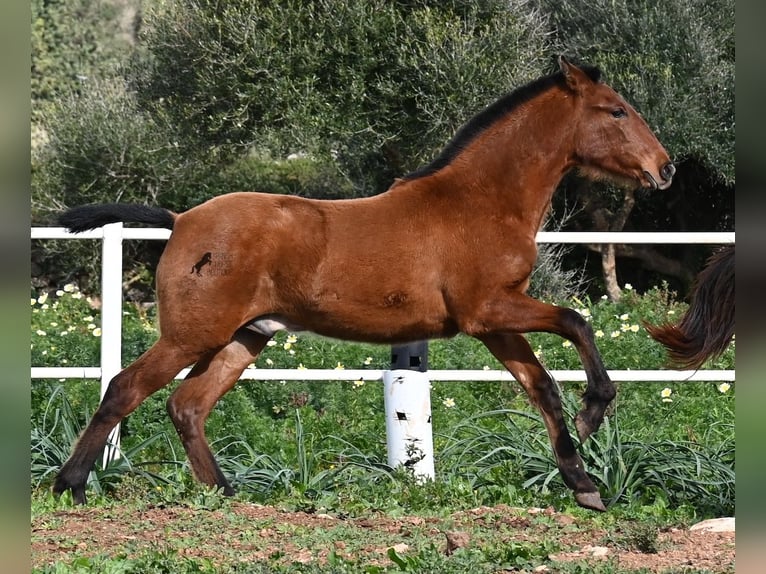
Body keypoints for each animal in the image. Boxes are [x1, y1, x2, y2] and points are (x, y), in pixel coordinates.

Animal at [55, 57, 680, 512]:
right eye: (616, 111)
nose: (666, 168)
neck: (480, 201)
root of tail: (181, 220)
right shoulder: (490, 309)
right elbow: (577, 322)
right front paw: (595, 411)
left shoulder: (493, 323)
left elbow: (543, 387)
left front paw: (584, 485)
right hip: (192, 334)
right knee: (125, 389)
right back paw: (71, 486)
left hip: (243, 338)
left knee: (186, 405)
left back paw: (227, 494)